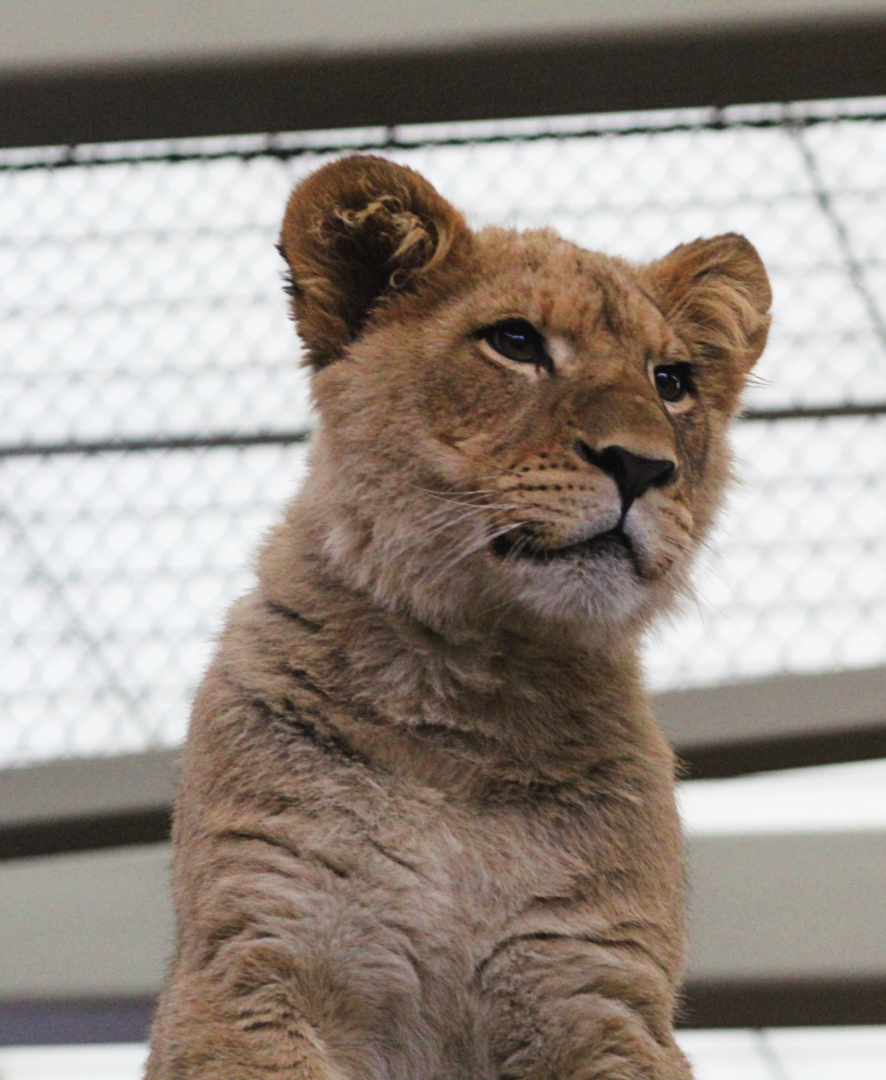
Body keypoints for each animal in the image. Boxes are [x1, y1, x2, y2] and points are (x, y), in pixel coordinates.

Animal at [145, 155, 771, 1080]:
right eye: (515, 343)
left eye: (673, 383)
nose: (641, 466)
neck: (471, 694)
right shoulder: (253, 952)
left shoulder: (596, 983)